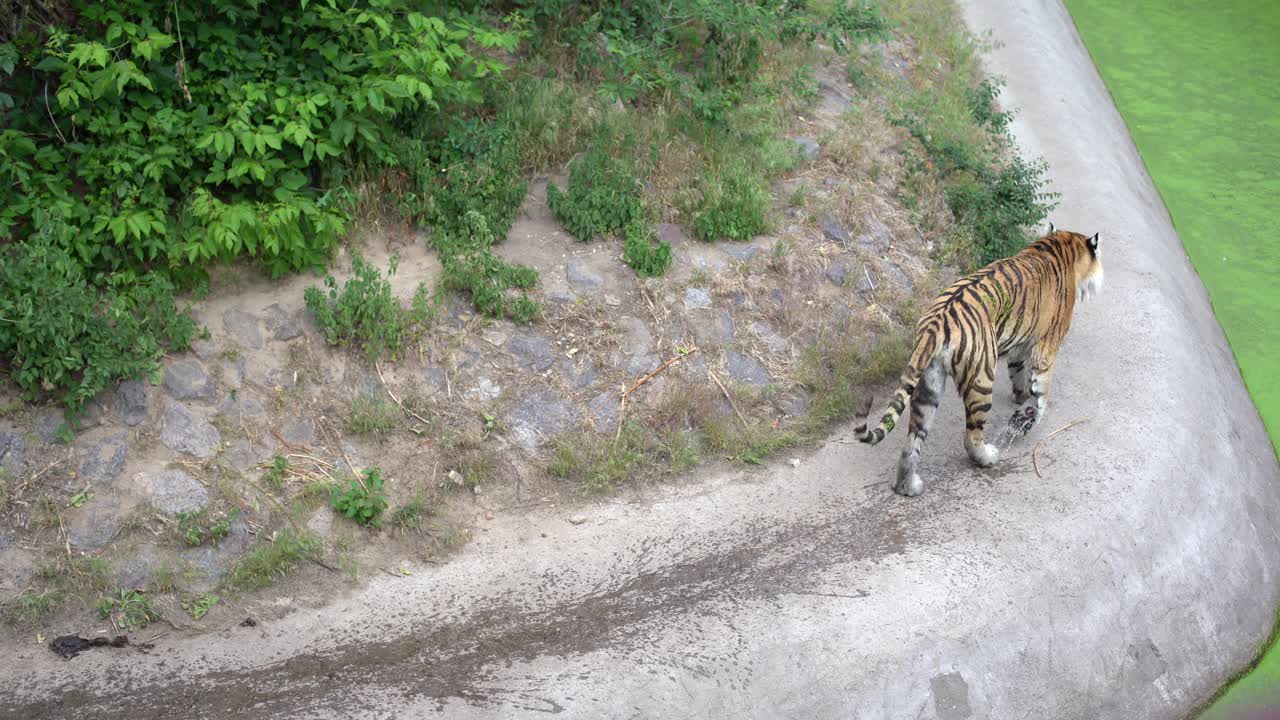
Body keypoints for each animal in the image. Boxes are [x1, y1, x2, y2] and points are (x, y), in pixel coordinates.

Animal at [854, 223, 1104, 497]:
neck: (1060, 246)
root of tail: (936, 322)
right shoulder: (1046, 348)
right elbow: (1041, 392)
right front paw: (1029, 416)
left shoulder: (1020, 348)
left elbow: (1019, 374)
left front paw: (1020, 397)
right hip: (981, 380)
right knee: (971, 436)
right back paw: (988, 457)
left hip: (928, 383)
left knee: (913, 440)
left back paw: (907, 486)